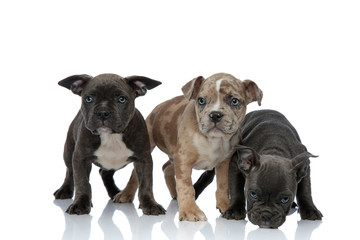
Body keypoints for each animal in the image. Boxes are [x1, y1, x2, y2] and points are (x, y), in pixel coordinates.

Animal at [53, 73, 166, 216]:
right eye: (89, 99)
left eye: (121, 99)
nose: (102, 112)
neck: (112, 136)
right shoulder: (80, 158)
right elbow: (82, 182)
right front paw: (80, 204)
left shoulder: (143, 159)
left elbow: (146, 183)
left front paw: (150, 205)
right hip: (68, 151)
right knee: (70, 171)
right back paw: (65, 190)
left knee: (104, 173)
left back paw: (114, 192)